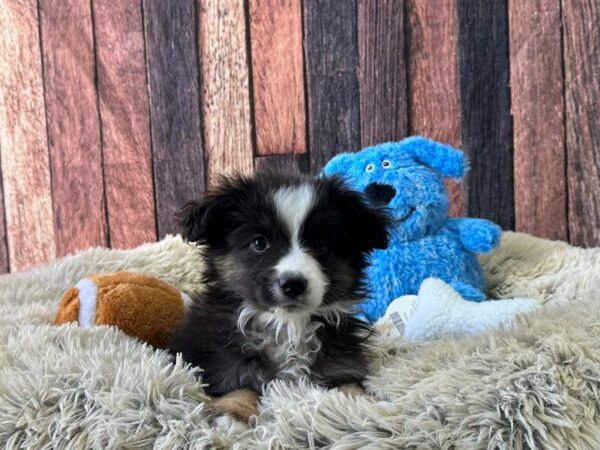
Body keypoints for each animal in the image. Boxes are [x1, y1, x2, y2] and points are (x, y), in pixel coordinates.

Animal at [169, 171, 390, 400]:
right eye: (259, 243)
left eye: (320, 245)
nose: (293, 284)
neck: (288, 325)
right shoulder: (225, 370)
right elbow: (241, 393)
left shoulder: (342, 366)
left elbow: (352, 391)